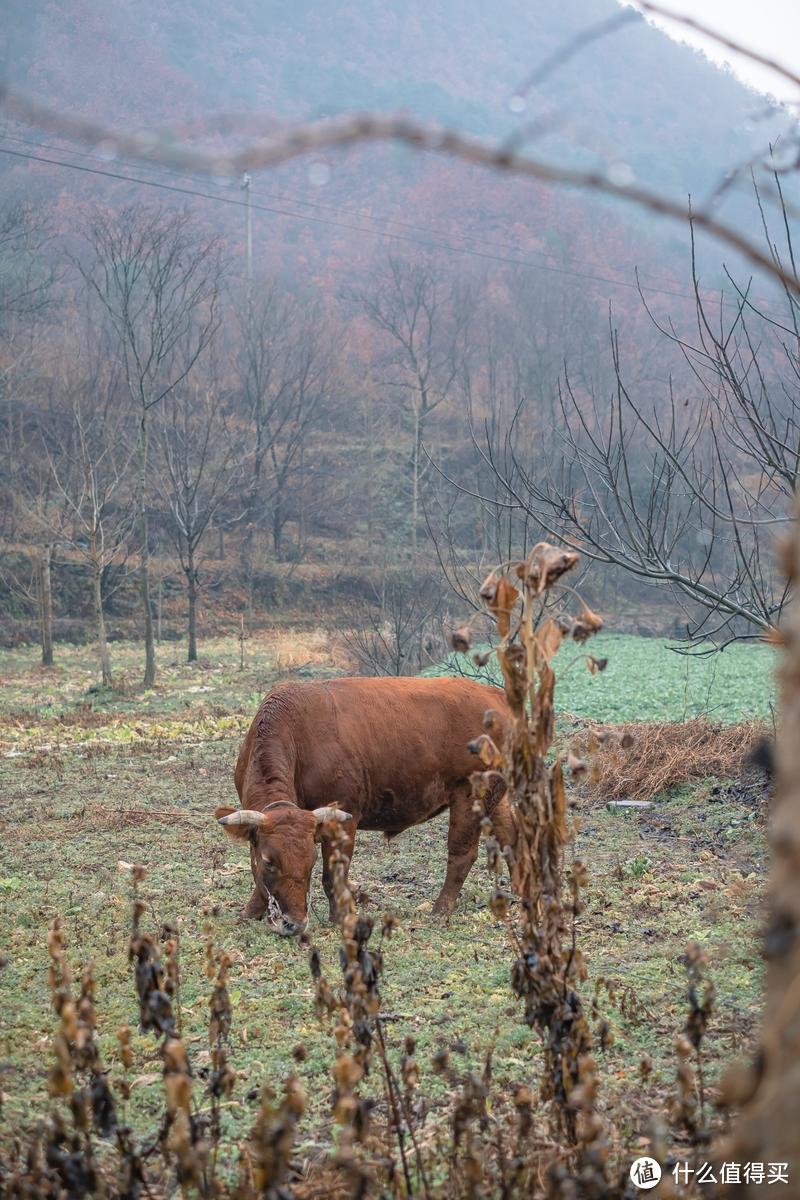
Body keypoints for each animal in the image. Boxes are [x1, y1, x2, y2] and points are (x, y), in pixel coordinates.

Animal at [214, 681, 513, 931]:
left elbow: (332, 875)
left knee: (461, 854)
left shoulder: (344, 818)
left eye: (311, 858)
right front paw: (250, 912)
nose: (294, 923)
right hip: (497, 796)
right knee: (512, 840)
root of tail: (495, 694)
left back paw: (440, 910)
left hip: (471, 795)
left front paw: (340, 916)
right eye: (269, 861)